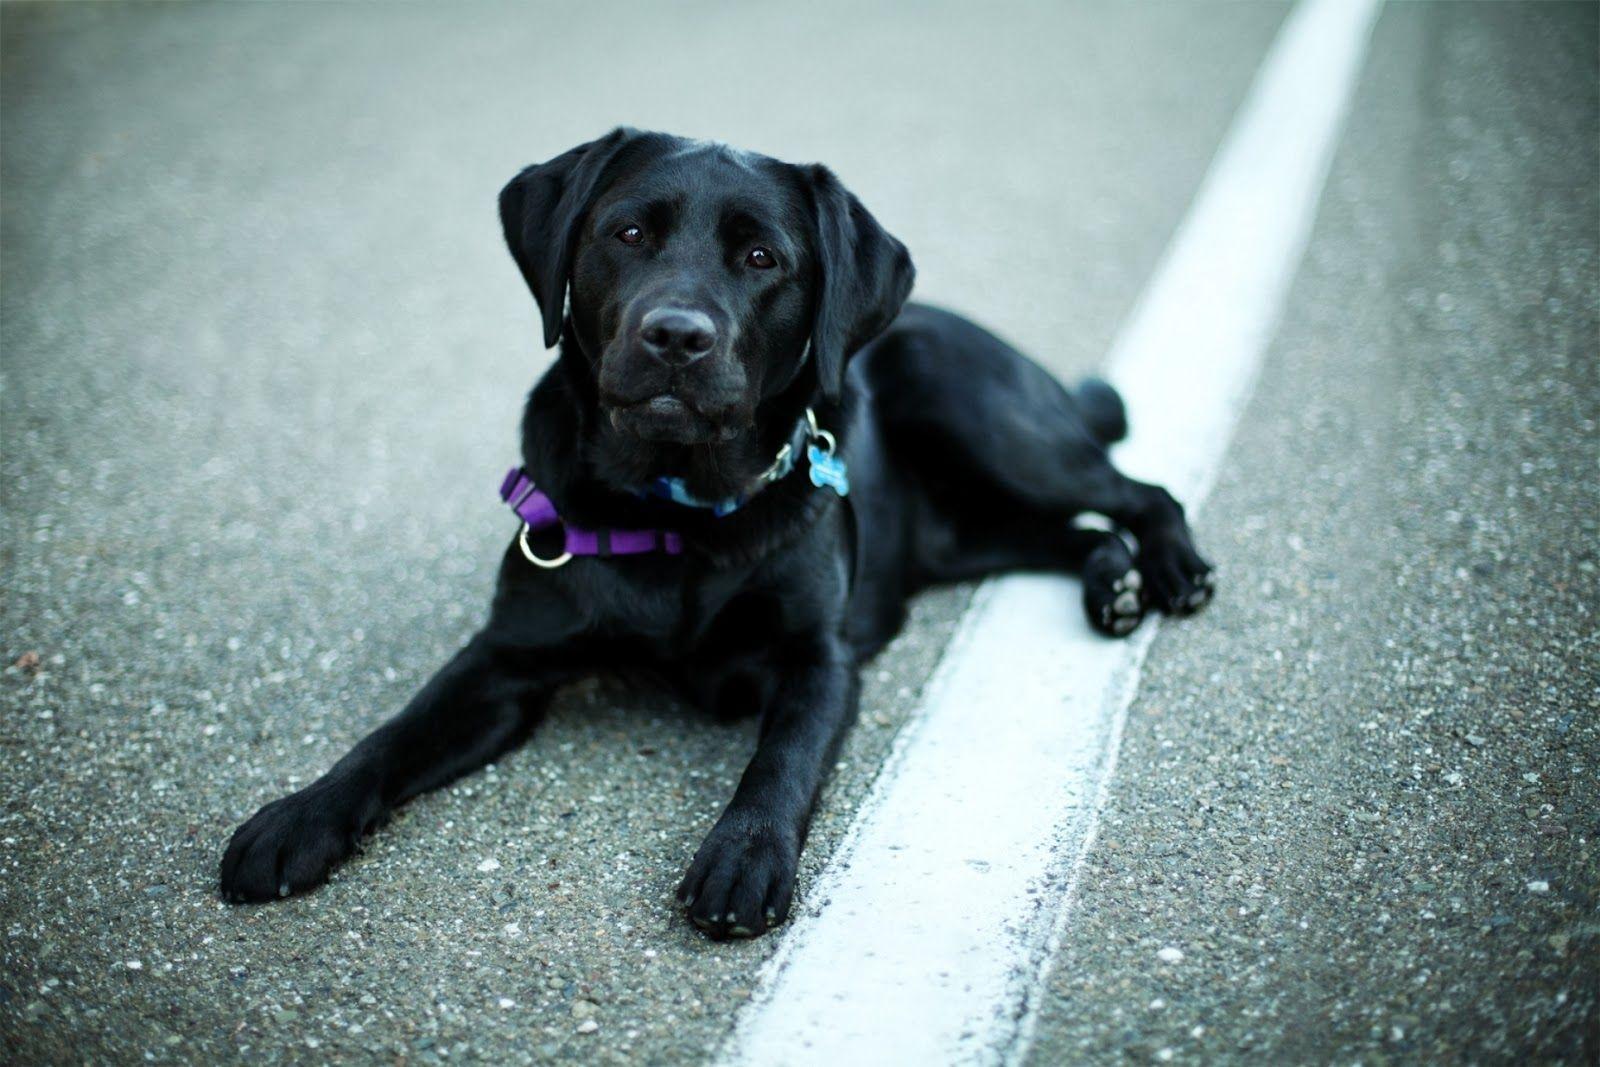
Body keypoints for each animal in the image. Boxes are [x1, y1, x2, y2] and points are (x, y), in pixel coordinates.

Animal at [219, 129, 1203, 940]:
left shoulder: (821, 658)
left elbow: (782, 759)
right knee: (1065, 530)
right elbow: (393, 732)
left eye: (763, 257)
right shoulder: (503, 659)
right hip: (964, 530)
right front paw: (298, 817)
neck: (675, 512)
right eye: (626, 234)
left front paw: (744, 856)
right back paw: (1112, 583)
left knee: (1135, 489)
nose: (677, 335)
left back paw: (1171, 567)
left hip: (977, 409)